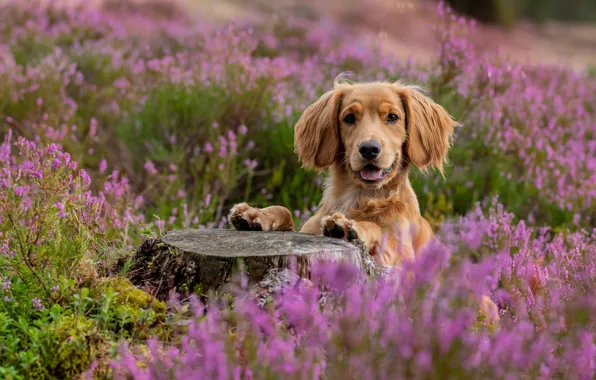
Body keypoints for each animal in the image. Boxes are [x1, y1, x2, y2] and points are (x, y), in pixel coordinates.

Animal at [230, 78, 500, 322]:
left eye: (392, 117)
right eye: (349, 118)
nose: (369, 149)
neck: (360, 196)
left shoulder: (403, 265)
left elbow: (376, 230)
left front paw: (348, 226)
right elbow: (285, 211)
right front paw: (254, 214)